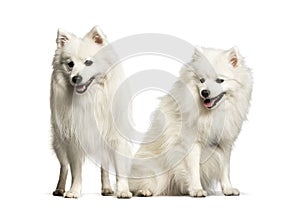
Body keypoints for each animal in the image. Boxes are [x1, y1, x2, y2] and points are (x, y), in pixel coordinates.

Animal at [50, 26, 132, 199]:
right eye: (70, 64)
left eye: (88, 62)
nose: (76, 78)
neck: (90, 97)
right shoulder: (74, 139)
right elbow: (76, 171)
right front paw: (74, 191)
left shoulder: (115, 138)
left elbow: (120, 170)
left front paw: (123, 190)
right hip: (59, 141)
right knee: (64, 166)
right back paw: (60, 189)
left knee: (104, 167)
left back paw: (107, 188)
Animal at [130, 46, 252, 197]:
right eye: (202, 80)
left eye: (220, 81)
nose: (205, 92)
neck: (212, 114)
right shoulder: (191, 143)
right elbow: (194, 170)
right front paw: (197, 190)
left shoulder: (224, 143)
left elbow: (225, 169)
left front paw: (228, 189)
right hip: (155, 170)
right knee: (141, 185)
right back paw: (144, 191)